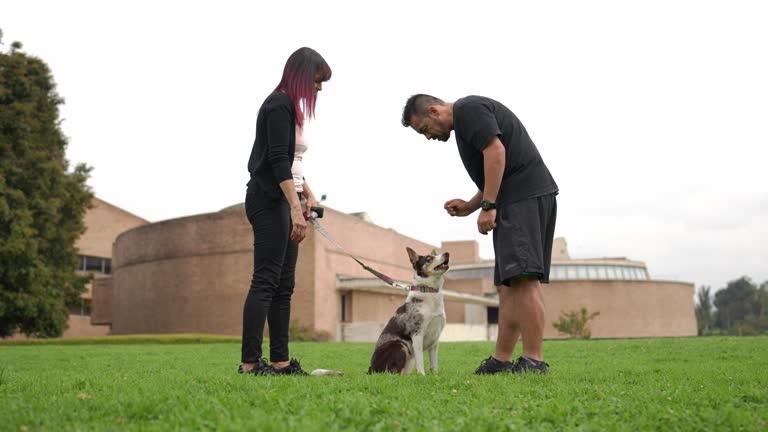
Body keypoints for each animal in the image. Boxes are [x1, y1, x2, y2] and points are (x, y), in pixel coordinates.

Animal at [368, 246, 450, 374]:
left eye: (435, 255)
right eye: (429, 259)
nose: (447, 253)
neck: (429, 291)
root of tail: (371, 369)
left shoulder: (435, 339)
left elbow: (433, 364)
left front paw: (435, 375)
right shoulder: (417, 334)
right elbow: (420, 361)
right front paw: (422, 376)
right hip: (400, 346)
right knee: (393, 373)